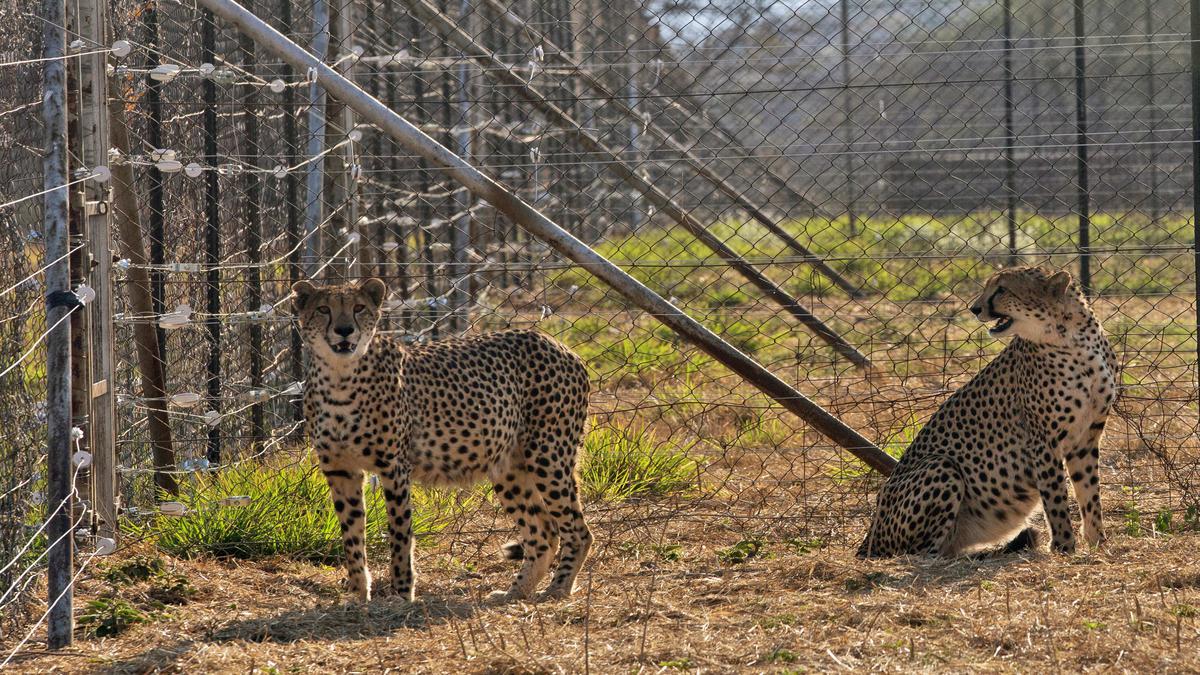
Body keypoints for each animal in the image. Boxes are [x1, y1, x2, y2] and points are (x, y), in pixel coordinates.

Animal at [290, 277, 590, 598]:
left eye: (358, 308)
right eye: (323, 309)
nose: (345, 329)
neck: (339, 376)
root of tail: (556, 343)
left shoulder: (394, 468)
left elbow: (400, 534)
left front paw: (401, 593)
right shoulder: (340, 470)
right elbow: (352, 537)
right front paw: (359, 595)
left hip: (547, 456)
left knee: (578, 530)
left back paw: (558, 589)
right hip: (508, 467)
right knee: (544, 531)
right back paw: (515, 593)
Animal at [859, 265, 1118, 554]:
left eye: (1002, 289)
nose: (974, 308)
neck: (1073, 338)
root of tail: (869, 536)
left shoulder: (1086, 436)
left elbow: (1089, 492)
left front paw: (1098, 542)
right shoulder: (1043, 440)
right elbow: (1056, 498)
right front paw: (1063, 547)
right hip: (941, 465)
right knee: (923, 551)